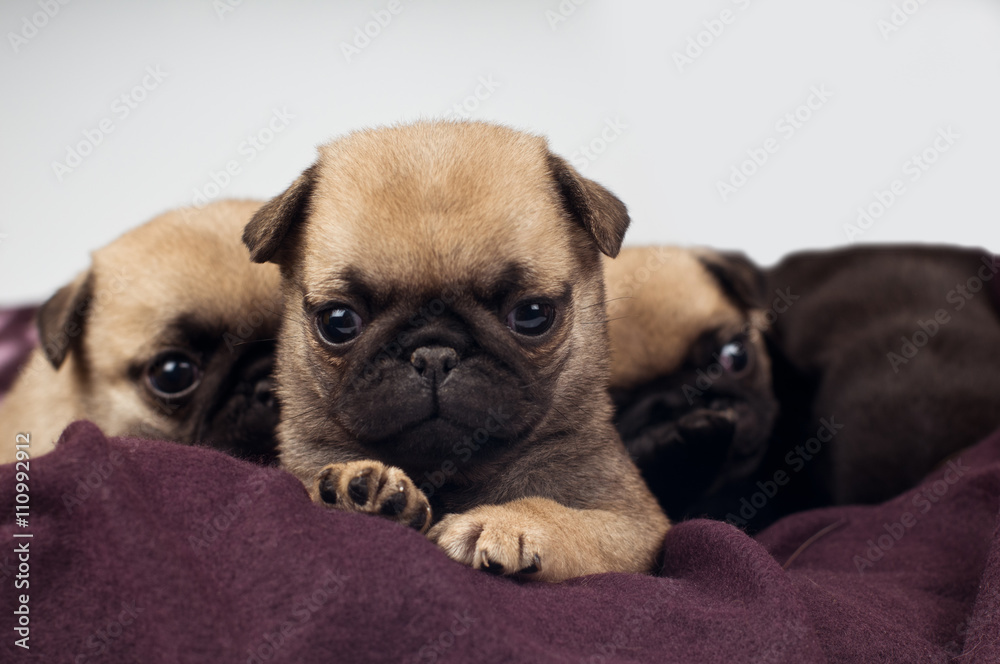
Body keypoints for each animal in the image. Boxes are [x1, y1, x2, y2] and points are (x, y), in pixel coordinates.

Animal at [240, 120, 672, 580]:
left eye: (533, 315)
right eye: (338, 321)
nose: (434, 354)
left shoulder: (634, 524)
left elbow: (562, 515)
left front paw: (505, 523)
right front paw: (357, 489)